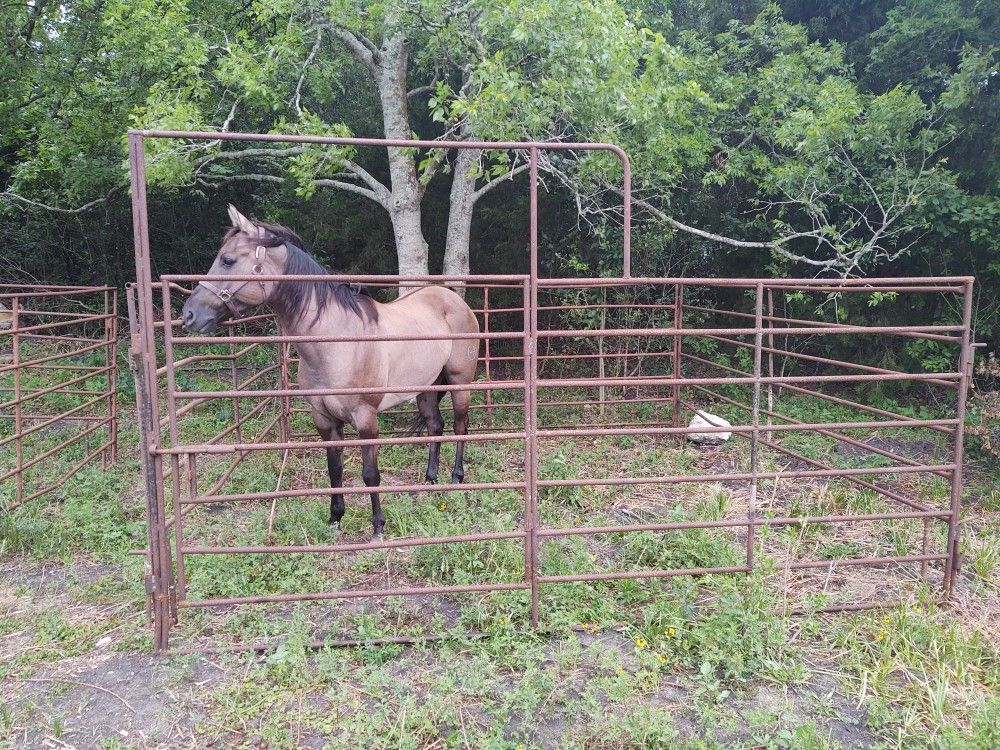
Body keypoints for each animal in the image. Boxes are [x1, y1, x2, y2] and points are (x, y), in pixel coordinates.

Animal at [183, 204, 480, 536]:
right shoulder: (324, 420)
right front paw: (335, 518)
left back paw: (456, 478)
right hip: (426, 388)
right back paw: (430, 481)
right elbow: (334, 470)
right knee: (435, 426)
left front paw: (378, 526)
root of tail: (453, 299)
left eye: (228, 260)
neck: (336, 340)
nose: (189, 315)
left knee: (459, 427)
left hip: (459, 383)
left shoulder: (366, 419)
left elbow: (370, 474)